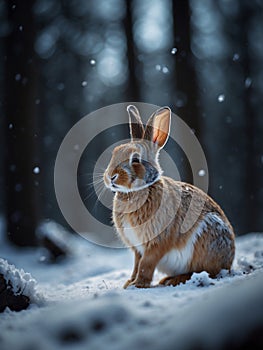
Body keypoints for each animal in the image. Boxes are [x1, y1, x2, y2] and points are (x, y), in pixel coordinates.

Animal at [104, 105, 236, 288]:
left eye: (136, 159)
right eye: (114, 153)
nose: (111, 177)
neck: (139, 191)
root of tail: (229, 262)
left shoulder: (156, 242)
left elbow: (146, 264)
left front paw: (138, 284)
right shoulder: (137, 248)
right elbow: (137, 264)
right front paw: (129, 283)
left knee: (208, 272)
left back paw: (174, 279)